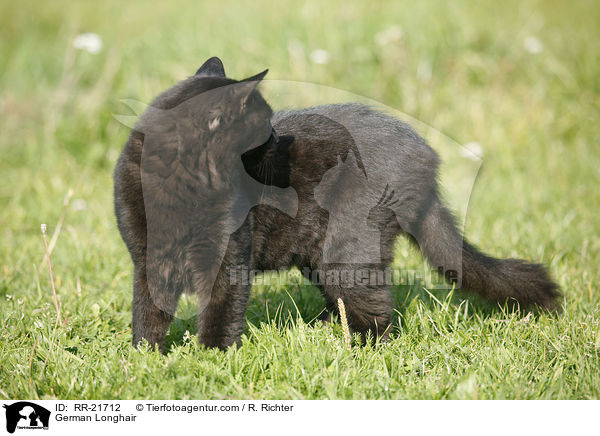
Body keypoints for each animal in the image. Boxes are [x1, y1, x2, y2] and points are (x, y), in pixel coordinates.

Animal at [113, 57, 564, 350]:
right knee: (347, 300)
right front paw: (145, 358)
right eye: (263, 125)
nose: (278, 139)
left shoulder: (229, 260)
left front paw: (212, 358)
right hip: (318, 252)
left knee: (375, 307)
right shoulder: (146, 258)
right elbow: (147, 311)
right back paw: (322, 331)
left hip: (348, 248)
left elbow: (221, 313)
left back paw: (360, 351)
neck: (179, 183)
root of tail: (424, 155)